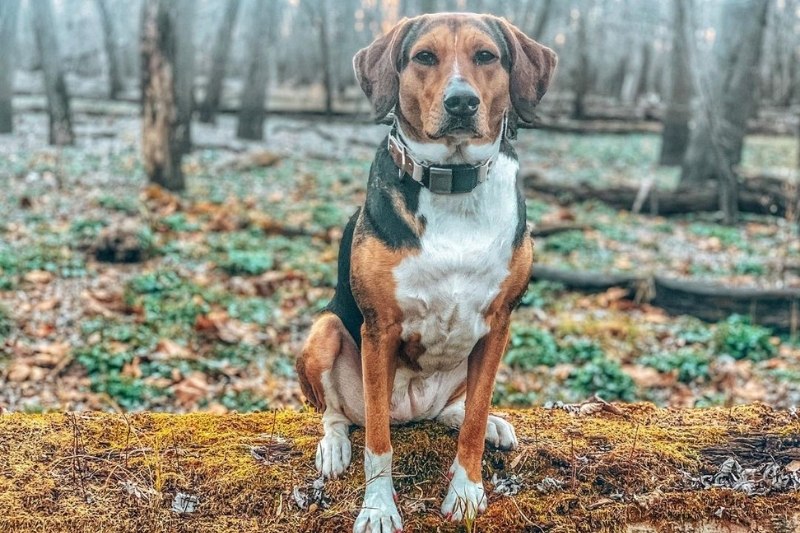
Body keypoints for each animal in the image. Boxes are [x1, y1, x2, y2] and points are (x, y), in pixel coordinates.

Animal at [296, 12, 556, 532]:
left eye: (485, 56)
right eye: (424, 57)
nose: (462, 101)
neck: (453, 183)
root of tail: (412, 414)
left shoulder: (498, 325)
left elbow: (473, 420)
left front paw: (466, 491)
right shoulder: (380, 329)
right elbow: (377, 443)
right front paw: (378, 508)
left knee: (456, 411)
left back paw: (487, 422)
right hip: (326, 330)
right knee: (338, 413)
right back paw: (333, 446)